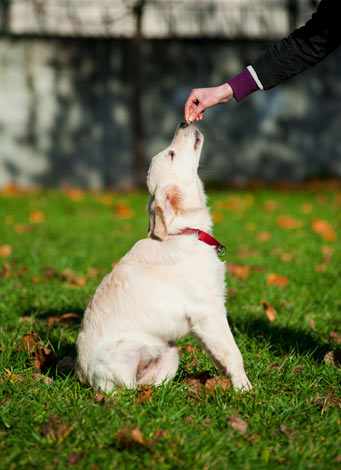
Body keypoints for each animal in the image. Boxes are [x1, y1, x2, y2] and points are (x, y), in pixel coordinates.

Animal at [75, 123, 251, 392]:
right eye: (171, 154)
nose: (183, 123)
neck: (184, 230)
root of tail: (80, 375)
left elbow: (219, 353)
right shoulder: (209, 312)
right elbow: (232, 352)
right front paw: (244, 388)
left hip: (170, 350)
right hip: (122, 355)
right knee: (124, 390)